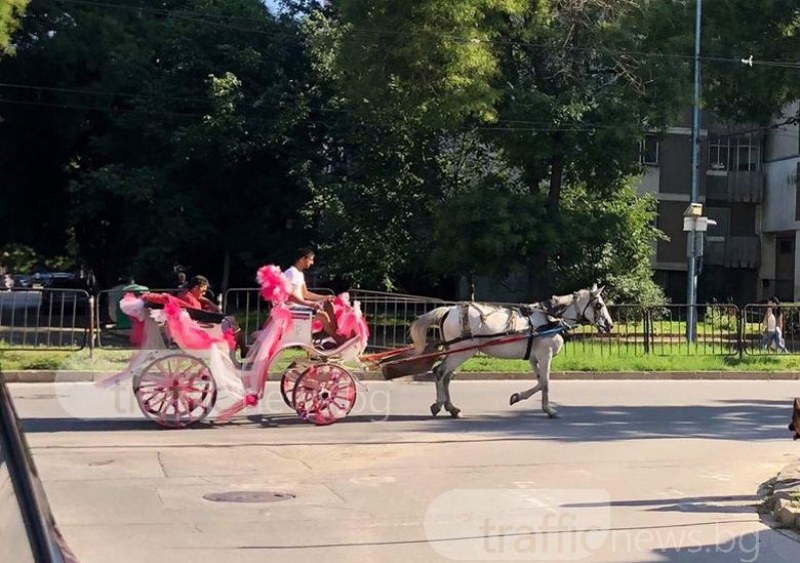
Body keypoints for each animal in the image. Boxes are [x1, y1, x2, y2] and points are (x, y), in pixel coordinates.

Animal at [410, 286, 616, 418]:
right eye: (598, 305)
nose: (609, 325)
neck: (550, 319)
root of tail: (448, 310)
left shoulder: (533, 358)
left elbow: (539, 382)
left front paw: (517, 397)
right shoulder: (545, 356)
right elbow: (546, 383)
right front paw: (548, 410)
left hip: (457, 353)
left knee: (446, 377)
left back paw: (452, 408)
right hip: (460, 352)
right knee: (440, 372)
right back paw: (439, 404)